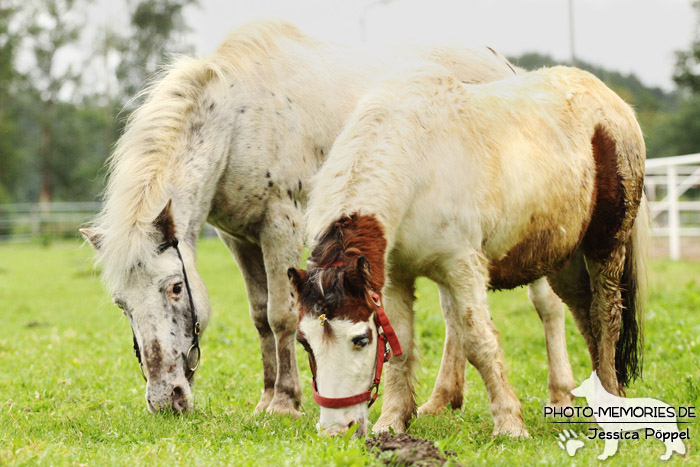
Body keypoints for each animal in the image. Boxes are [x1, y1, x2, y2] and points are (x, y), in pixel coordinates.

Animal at [80, 20, 580, 416]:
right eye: (121, 304)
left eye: (175, 287)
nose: (166, 399)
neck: (238, 120)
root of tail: (505, 66)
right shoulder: (238, 238)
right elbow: (259, 316)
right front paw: (266, 398)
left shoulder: (279, 226)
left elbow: (281, 315)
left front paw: (285, 402)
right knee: (455, 314)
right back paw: (442, 401)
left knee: (546, 305)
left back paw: (559, 394)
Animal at [288, 64, 644, 436]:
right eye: (304, 341)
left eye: (360, 339)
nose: (335, 429)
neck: (417, 159)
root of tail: (614, 103)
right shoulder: (395, 275)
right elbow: (403, 344)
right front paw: (393, 421)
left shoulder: (463, 266)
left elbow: (478, 340)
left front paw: (509, 422)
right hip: (563, 260)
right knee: (583, 313)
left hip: (606, 246)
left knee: (605, 315)